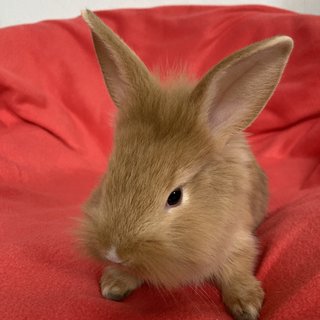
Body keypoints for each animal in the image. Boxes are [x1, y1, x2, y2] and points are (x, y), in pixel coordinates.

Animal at [79, 9, 292, 320]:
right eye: (109, 180)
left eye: (175, 197)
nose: (114, 252)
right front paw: (114, 285)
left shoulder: (238, 240)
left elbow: (238, 268)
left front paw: (247, 304)